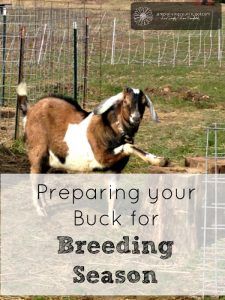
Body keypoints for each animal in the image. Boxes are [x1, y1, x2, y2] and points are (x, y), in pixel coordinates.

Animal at [17, 83, 165, 175]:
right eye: (125, 102)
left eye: (143, 104)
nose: (136, 118)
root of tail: (29, 111)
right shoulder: (101, 157)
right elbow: (129, 146)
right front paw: (159, 160)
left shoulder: (114, 171)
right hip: (37, 152)